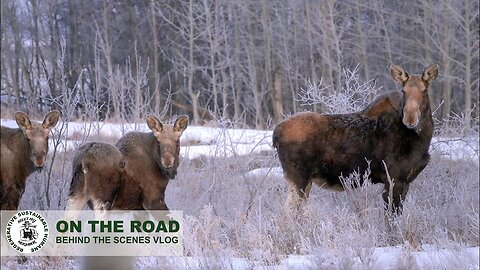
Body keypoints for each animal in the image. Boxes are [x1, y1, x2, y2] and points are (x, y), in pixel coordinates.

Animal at [274, 64, 438, 214]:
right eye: (404, 91)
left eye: (424, 90)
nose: (410, 118)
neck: (421, 139)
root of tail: (276, 133)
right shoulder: (394, 178)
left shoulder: (406, 181)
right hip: (299, 179)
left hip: (306, 182)